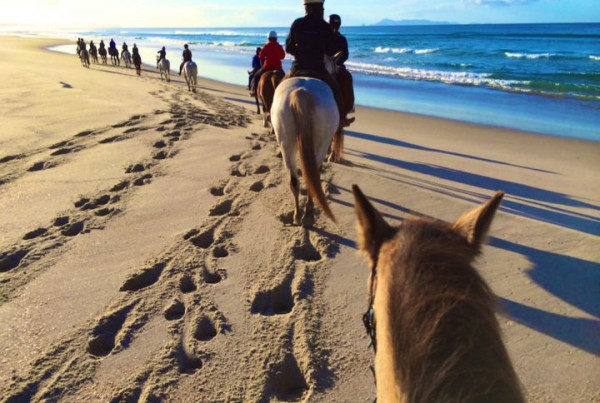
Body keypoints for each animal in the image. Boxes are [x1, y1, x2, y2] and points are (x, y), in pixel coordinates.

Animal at [270, 76, 340, 227]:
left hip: (286, 146)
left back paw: (297, 216)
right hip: (321, 145)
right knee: (312, 179)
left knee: (295, 181)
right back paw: (308, 215)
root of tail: (302, 91)